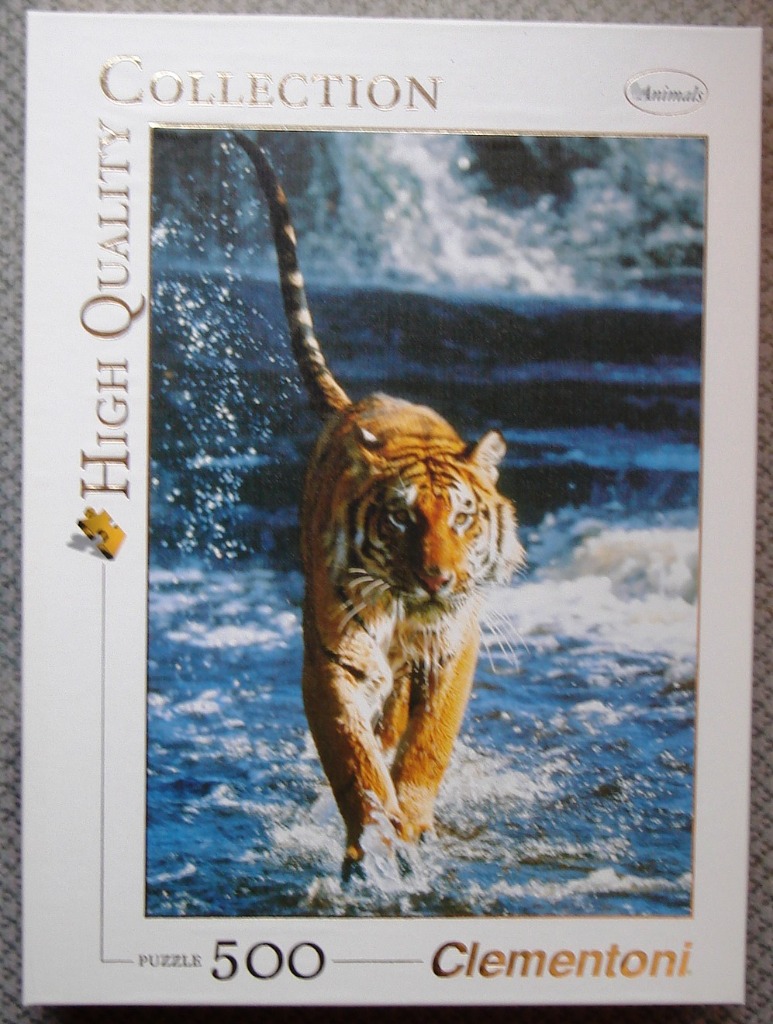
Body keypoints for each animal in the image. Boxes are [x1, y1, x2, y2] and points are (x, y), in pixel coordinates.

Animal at [234, 134, 525, 877]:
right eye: (400, 518)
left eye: (461, 517)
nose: (438, 579)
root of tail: (359, 400)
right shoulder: (332, 660)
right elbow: (352, 757)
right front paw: (374, 840)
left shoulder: (451, 650)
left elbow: (428, 747)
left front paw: (412, 822)